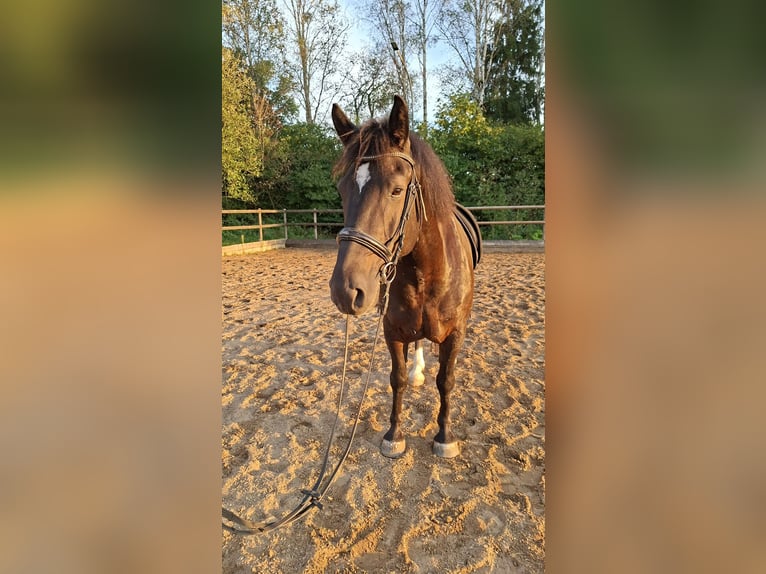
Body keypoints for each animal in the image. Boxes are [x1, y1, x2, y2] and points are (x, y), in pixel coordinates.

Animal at [329, 95, 481, 459]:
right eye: (342, 190)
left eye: (397, 190)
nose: (345, 291)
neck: (426, 273)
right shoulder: (392, 331)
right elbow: (395, 378)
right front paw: (394, 434)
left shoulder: (456, 334)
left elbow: (446, 381)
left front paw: (445, 437)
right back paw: (417, 372)